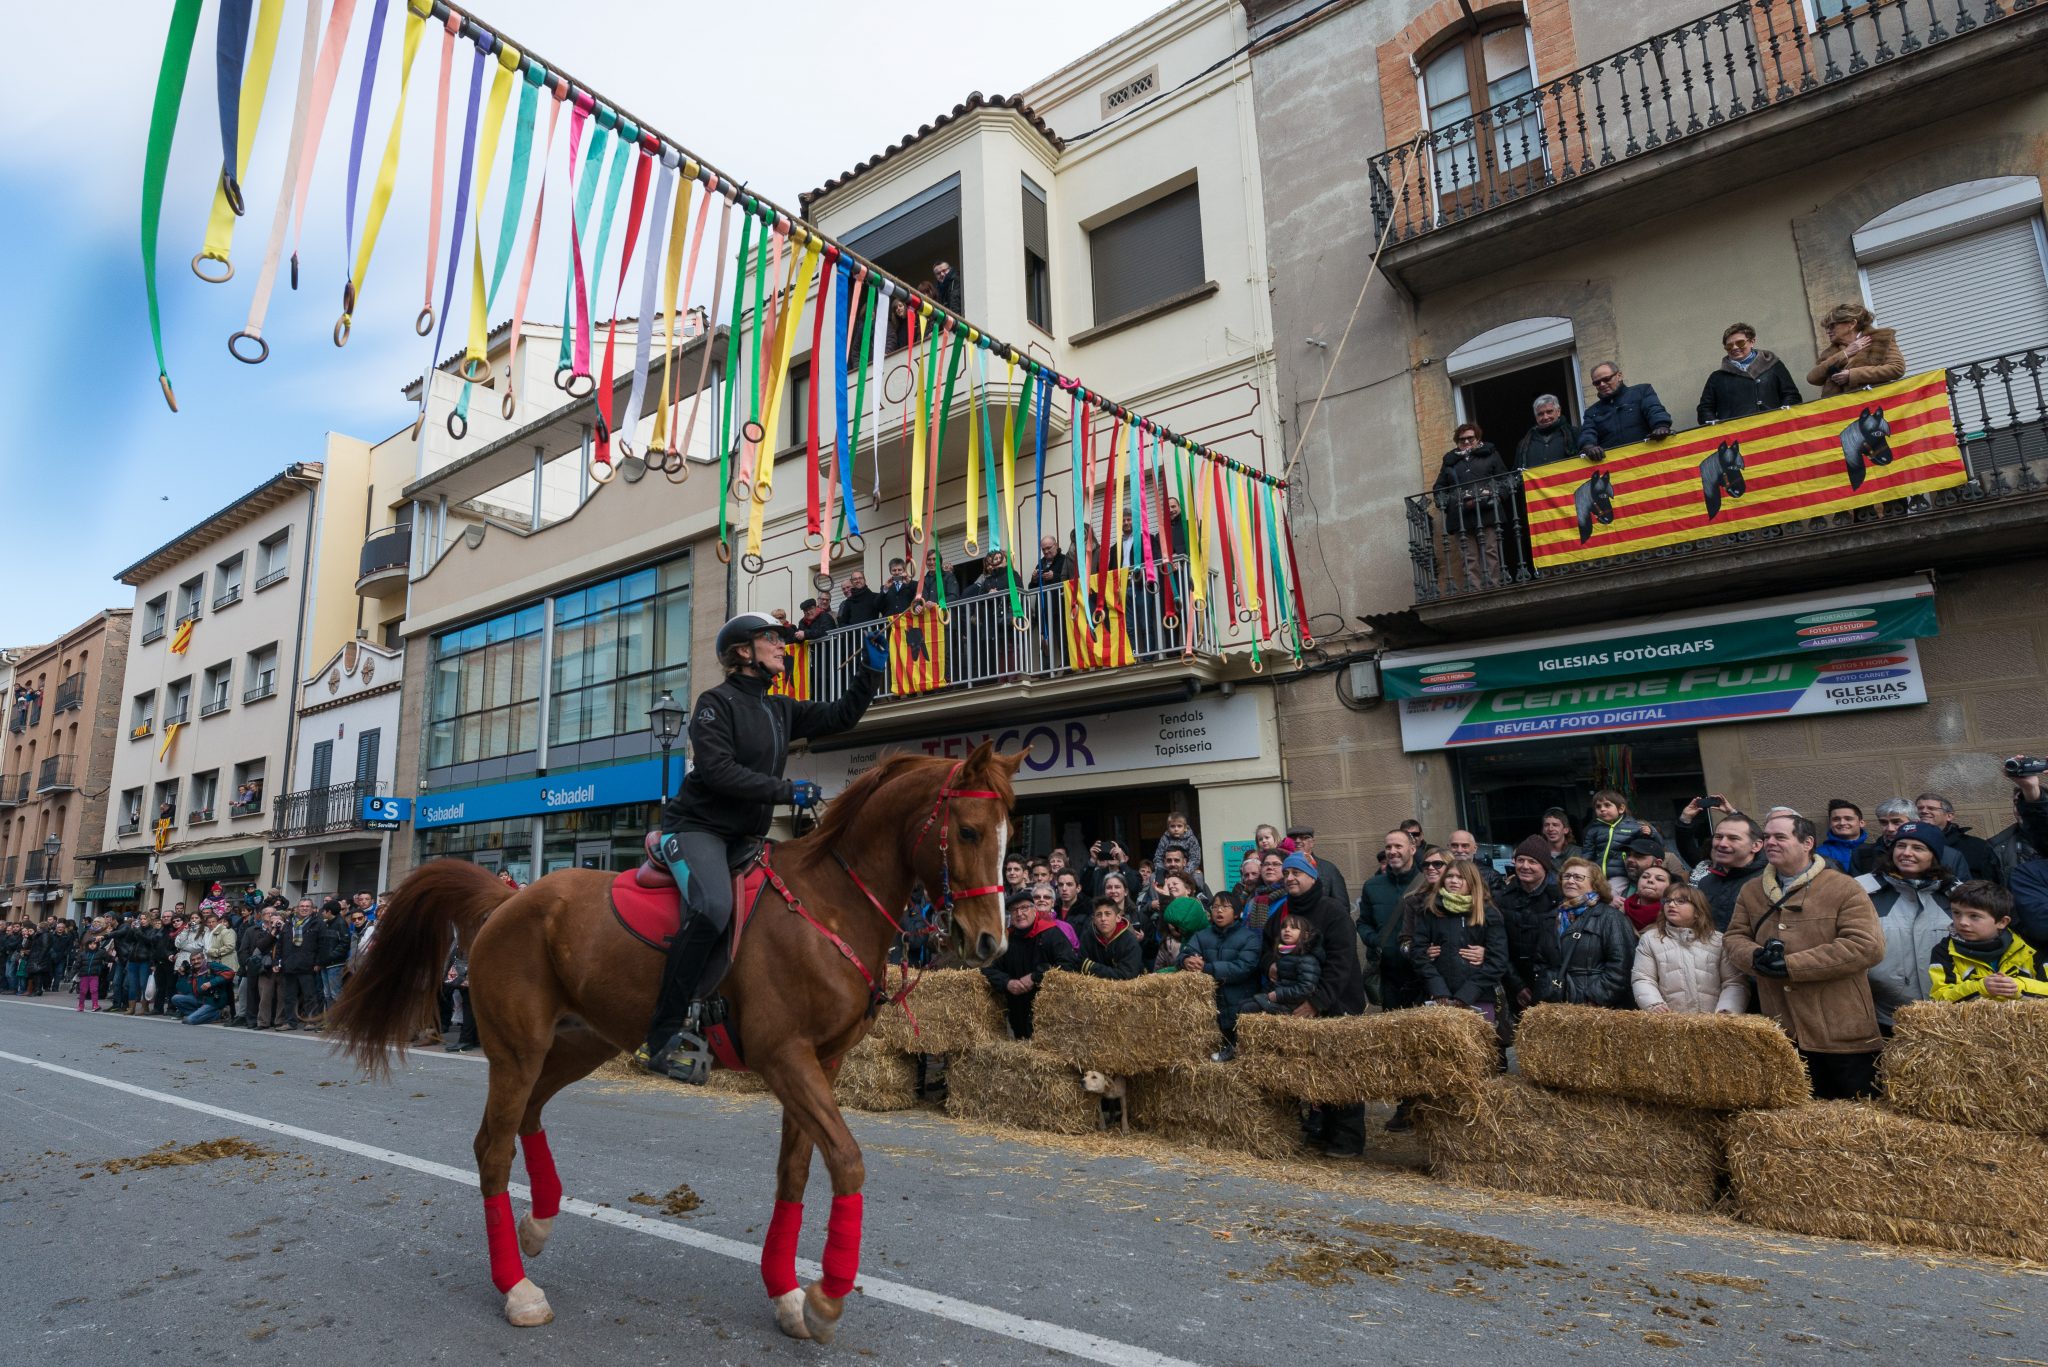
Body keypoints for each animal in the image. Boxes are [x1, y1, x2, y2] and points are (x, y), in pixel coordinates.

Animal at [329, 741, 1024, 1344]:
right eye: (968, 832)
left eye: (1010, 834)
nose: (992, 942)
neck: (826, 905)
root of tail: (508, 896)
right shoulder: (785, 1058)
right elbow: (847, 1161)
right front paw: (826, 1300)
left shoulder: (820, 1064)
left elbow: (796, 1172)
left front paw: (787, 1294)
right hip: (518, 1050)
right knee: (493, 1149)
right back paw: (517, 1288)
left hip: (581, 1045)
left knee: (528, 1116)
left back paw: (538, 1223)